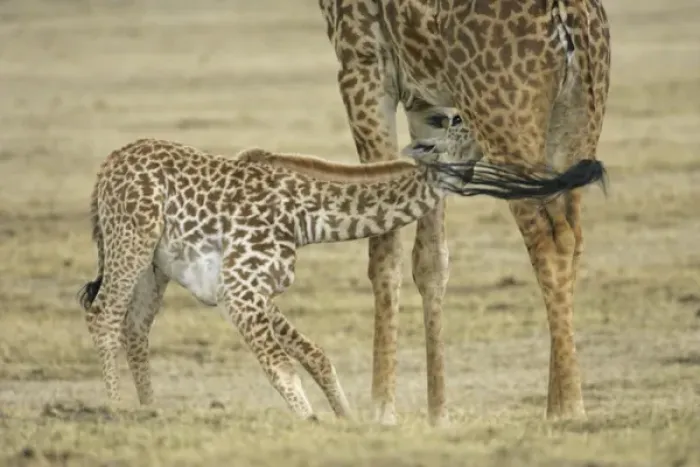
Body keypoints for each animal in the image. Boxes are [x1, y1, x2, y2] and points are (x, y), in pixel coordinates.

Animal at [77, 114, 605, 420]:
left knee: (134, 326)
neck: (307, 217)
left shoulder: (253, 289)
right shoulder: (241, 289)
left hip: (154, 266)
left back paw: (150, 412)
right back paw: (118, 413)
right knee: (104, 315)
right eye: (460, 125)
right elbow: (284, 369)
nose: (498, 134)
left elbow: (316, 356)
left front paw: (348, 424)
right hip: (131, 238)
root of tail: (104, 169)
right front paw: (314, 424)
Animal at [319, 0, 611, 425]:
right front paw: (438, 414)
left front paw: (382, 409)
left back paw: (570, 408)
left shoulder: (362, 60)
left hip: (505, 120)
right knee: (573, 236)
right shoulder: (426, 98)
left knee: (549, 240)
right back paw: (555, 404)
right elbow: (430, 259)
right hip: (579, 121)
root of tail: (570, 17)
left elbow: (383, 247)